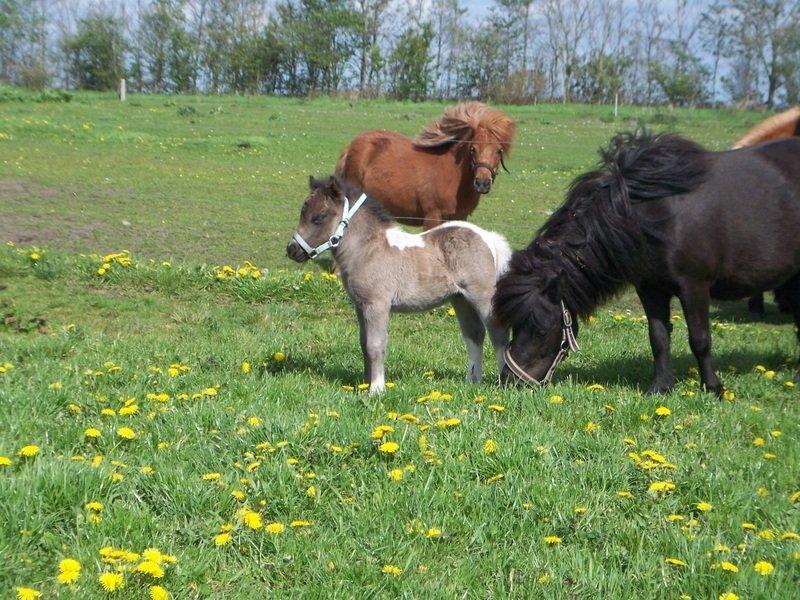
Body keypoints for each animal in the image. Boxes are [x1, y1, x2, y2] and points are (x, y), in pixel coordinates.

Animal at [290, 176, 512, 392]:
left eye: (319, 216)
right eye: (302, 211)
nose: (292, 250)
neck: (369, 249)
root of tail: (488, 237)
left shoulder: (377, 304)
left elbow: (375, 345)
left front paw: (377, 389)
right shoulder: (360, 306)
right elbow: (364, 343)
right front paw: (365, 383)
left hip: (482, 297)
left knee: (498, 335)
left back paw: (504, 383)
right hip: (460, 300)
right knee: (474, 335)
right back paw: (472, 381)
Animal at [334, 102, 516, 229]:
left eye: (499, 151)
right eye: (473, 149)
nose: (482, 183)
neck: (454, 177)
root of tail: (350, 146)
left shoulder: (460, 217)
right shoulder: (432, 217)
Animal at [494, 131, 800, 394]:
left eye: (540, 329)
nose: (510, 380)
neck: (653, 214)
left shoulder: (694, 286)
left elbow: (700, 339)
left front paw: (713, 388)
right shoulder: (650, 287)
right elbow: (658, 337)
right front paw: (661, 387)